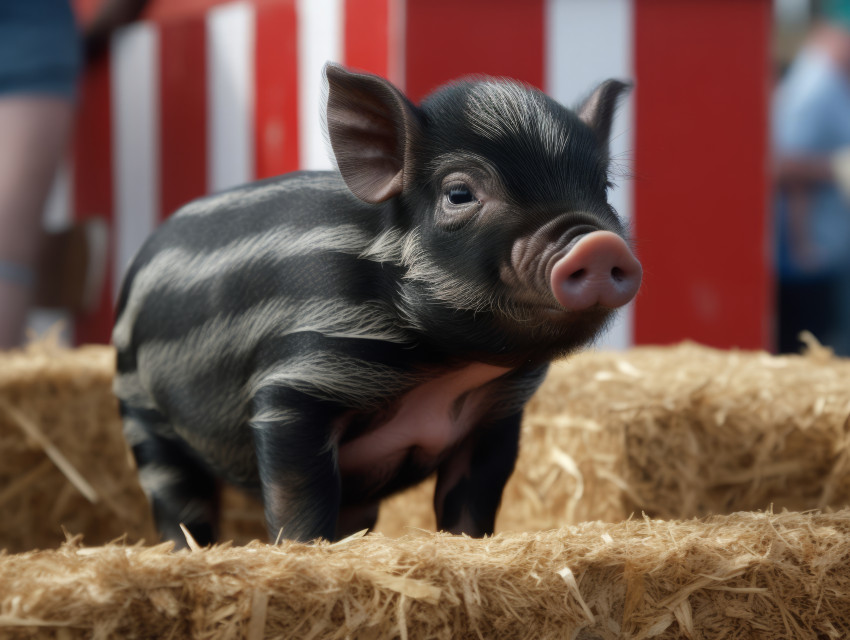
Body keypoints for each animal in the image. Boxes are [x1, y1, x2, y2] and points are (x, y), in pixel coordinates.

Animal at [112, 64, 641, 546]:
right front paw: (306, 552)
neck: (449, 369)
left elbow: (471, 505)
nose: (596, 243)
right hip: (143, 413)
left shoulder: (496, 418)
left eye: (604, 188)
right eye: (459, 193)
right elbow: (298, 497)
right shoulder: (292, 386)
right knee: (178, 503)